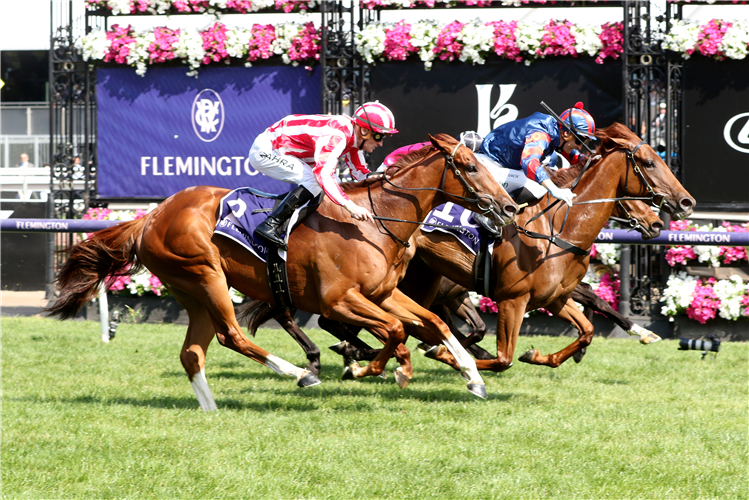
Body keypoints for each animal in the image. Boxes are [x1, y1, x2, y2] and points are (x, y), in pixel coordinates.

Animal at [45, 134, 516, 410]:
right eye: (471, 167)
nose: (510, 207)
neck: (375, 221)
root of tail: (151, 216)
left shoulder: (382, 294)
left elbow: (433, 322)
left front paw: (473, 377)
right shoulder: (339, 300)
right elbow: (397, 331)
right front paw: (377, 368)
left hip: (192, 291)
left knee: (193, 352)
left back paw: (211, 409)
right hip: (206, 275)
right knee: (231, 336)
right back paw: (299, 373)